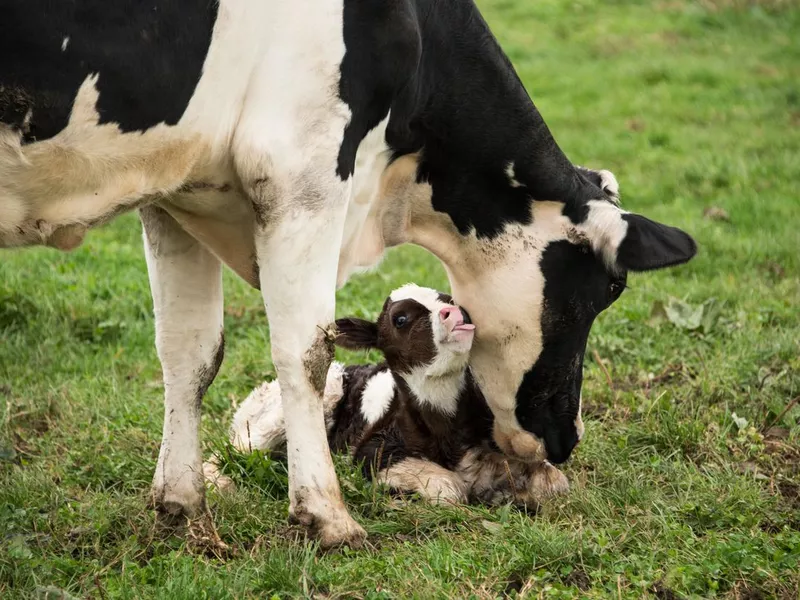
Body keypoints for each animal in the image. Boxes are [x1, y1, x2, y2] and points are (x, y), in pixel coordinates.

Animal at [212, 284, 568, 508]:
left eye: (448, 299)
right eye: (400, 319)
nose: (455, 313)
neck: (445, 430)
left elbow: (554, 481)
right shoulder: (370, 451)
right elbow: (448, 488)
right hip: (287, 412)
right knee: (229, 452)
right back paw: (221, 485)